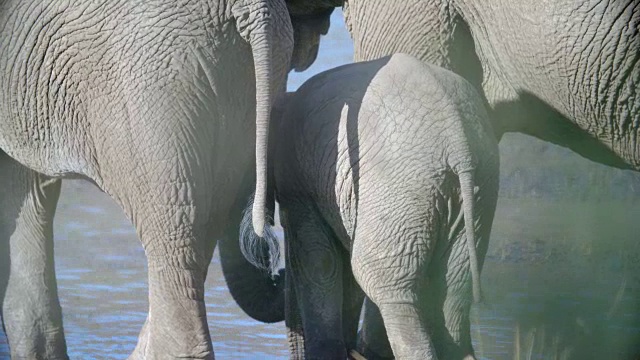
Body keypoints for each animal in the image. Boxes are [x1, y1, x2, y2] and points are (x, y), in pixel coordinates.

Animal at [240, 54, 500, 360]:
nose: (277, 275)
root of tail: (459, 144)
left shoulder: (297, 180)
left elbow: (318, 262)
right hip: (479, 192)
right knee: (453, 294)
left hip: (401, 189)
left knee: (383, 285)